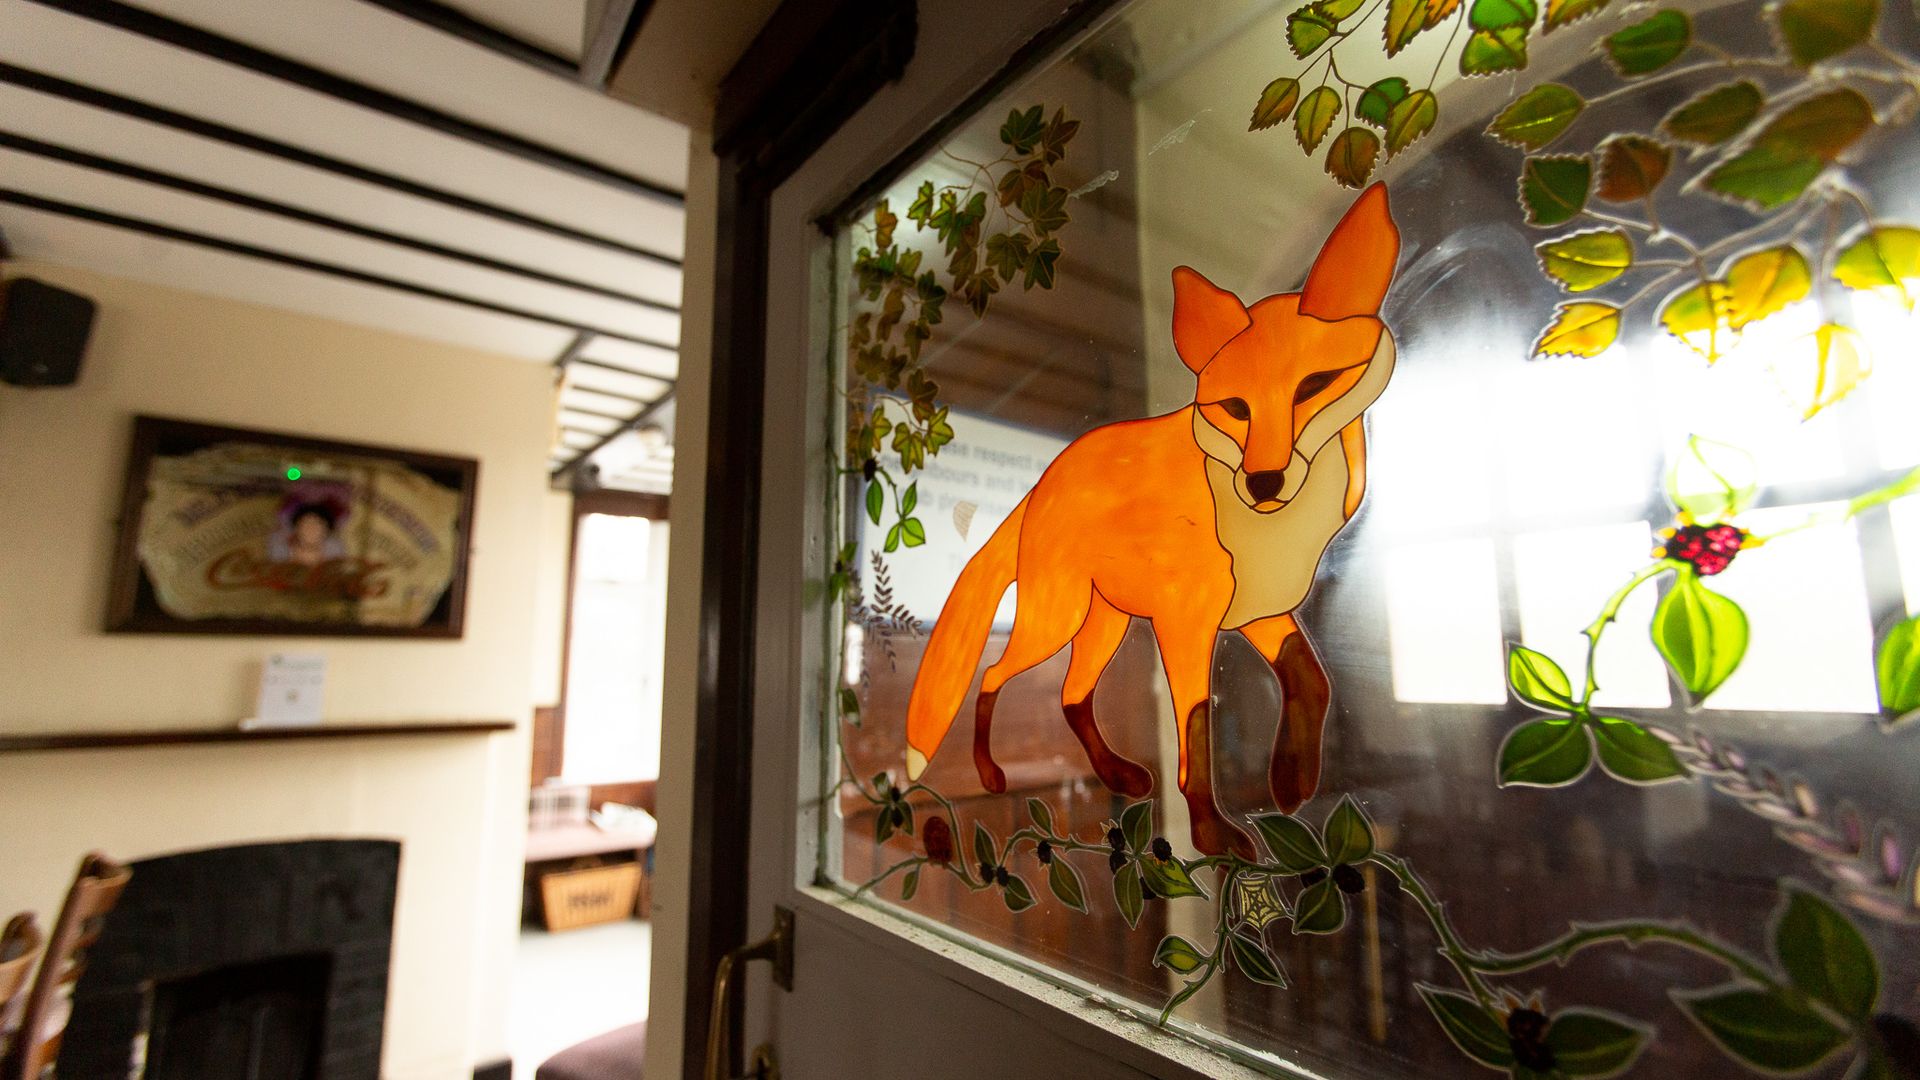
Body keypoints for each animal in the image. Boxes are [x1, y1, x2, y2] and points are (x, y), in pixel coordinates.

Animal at [901, 183, 1402, 858]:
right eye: (1234, 408)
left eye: (1315, 384)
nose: (1263, 484)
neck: (1276, 534)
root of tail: (1047, 477)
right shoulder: (1186, 623)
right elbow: (1195, 729)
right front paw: (1214, 835)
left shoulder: (1257, 610)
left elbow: (1313, 679)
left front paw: (1292, 781)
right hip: (1056, 620)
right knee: (993, 675)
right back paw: (990, 772)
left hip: (1106, 623)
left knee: (1070, 695)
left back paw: (1117, 775)